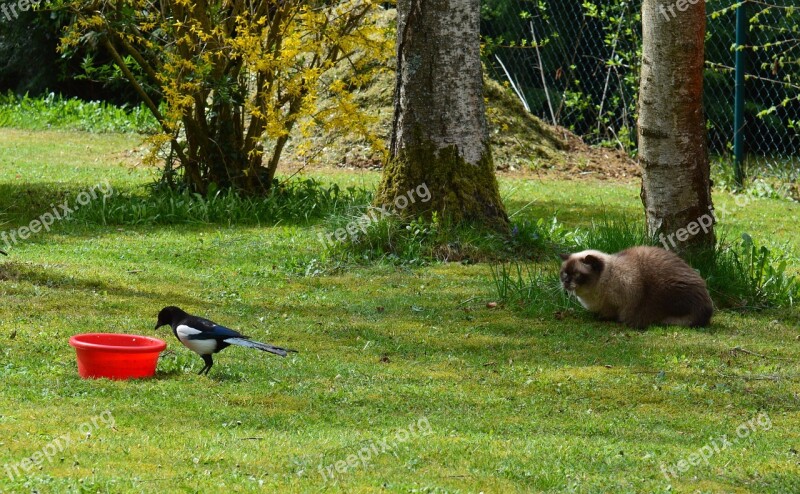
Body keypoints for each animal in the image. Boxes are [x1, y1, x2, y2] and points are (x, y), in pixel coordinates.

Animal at [560, 246, 716, 328]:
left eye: (576, 274)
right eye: (564, 273)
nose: (566, 282)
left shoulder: (619, 300)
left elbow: (610, 313)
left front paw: (604, 318)